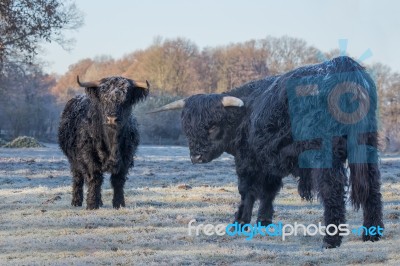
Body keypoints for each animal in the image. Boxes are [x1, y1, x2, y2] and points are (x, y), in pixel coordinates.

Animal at [57, 75, 148, 210]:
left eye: (126, 99)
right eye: (104, 99)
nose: (112, 118)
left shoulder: (126, 158)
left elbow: (118, 181)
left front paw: (119, 203)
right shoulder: (88, 157)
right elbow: (94, 179)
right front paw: (92, 204)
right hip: (73, 160)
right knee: (78, 178)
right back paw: (76, 201)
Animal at [152, 56, 382, 247]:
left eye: (212, 126)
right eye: (188, 128)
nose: (196, 157)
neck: (244, 115)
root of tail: (344, 64)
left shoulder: (247, 160)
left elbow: (247, 191)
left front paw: (240, 222)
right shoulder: (270, 159)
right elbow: (269, 191)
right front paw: (263, 221)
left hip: (325, 154)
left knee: (332, 190)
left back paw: (331, 240)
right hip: (367, 148)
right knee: (372, 188)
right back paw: (372, 234)